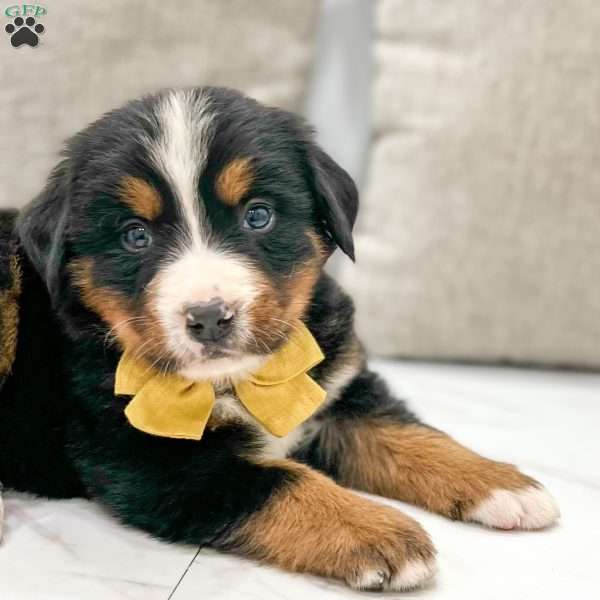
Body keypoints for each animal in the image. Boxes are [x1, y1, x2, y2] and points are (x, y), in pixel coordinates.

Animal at [1, 88, 564, 592]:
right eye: (135, 235)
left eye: (258, 215)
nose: (210, 317)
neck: (240, 381)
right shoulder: (149, 457)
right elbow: (283, 481)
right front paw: (379, 533)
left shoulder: (335, 390)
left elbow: (407, 435)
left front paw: (501, 484)